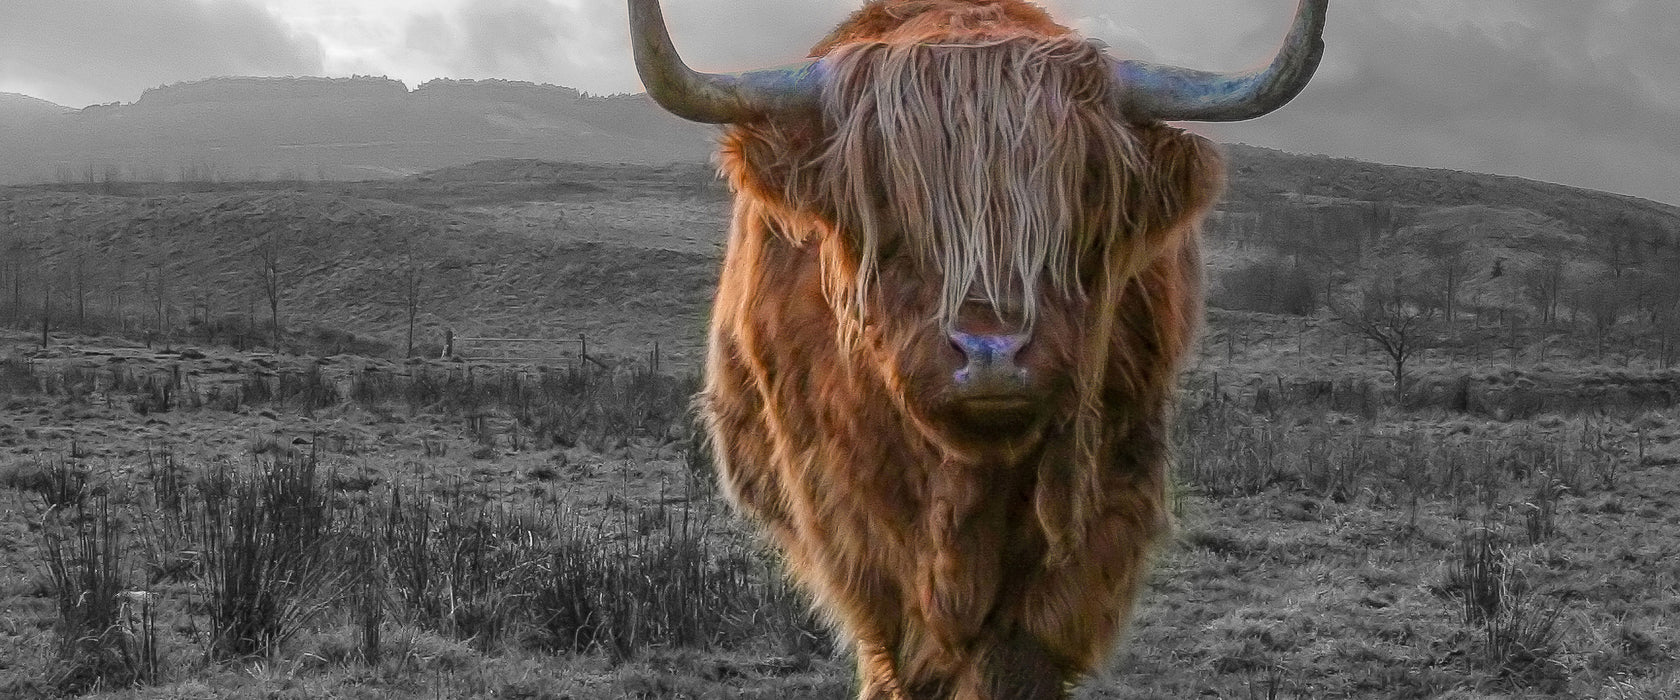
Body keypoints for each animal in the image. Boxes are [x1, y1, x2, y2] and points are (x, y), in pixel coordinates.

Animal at [628, 2, 1323, 694]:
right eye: (886, 203)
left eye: (1082, 194)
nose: (992, 353)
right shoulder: (843, 509)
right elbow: (897, 646)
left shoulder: (1103, 507)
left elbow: (1018, 655)